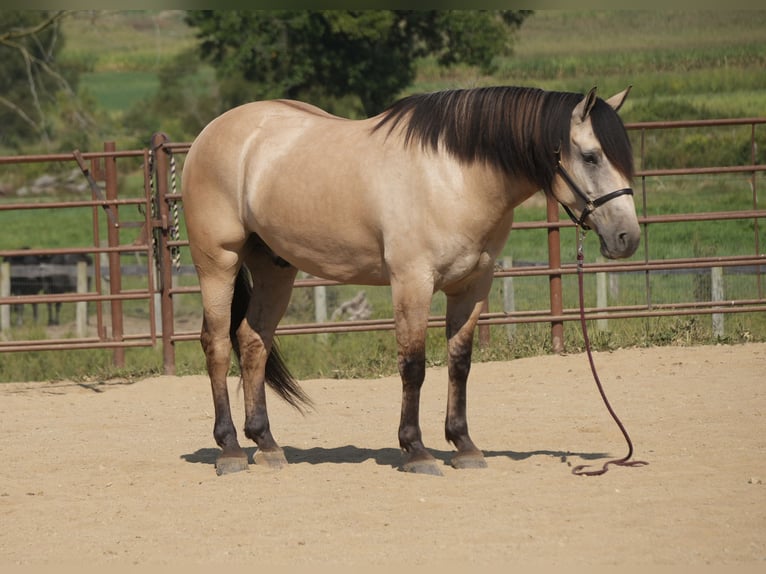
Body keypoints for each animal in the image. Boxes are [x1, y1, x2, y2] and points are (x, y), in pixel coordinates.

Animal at [181, 85, 640, 476]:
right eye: (591, 156)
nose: (627, 237)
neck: (456, 177)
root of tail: (211, 133)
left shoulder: (473, 285)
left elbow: (460, 362)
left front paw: (464, 446)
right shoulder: (412, 282)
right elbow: (413, 365)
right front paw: (416, 450)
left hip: (275, 267)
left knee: (253, 341)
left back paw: (267, 444)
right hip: (218, 263)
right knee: (217, 344)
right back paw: (230, 450)